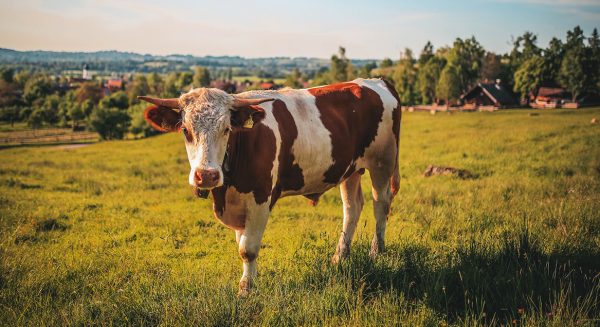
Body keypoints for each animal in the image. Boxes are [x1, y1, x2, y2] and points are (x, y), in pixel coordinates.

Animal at [140, 78, 400, 296]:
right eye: (186, 130)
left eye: (226, 129)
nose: (206, 175)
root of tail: (375, 81)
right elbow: (242, 243)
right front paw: (249, 281)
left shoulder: (260, 198)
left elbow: (248, 249)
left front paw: (246, 289)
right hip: (350, 169)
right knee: (352, 207)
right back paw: (340, 256)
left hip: (383, 161)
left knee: (381, 204)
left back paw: (376, 252)